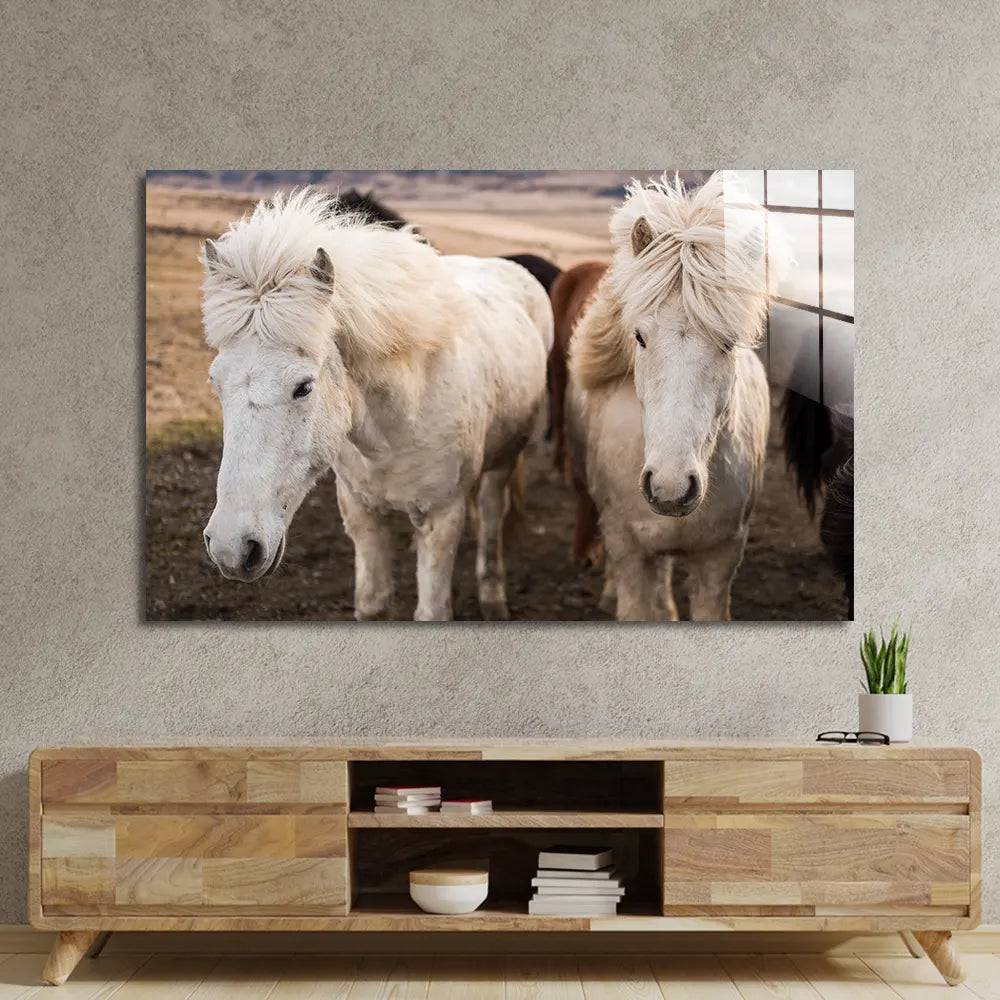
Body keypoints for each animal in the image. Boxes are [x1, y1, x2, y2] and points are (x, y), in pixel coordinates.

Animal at [199, 190, 554, 621]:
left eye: (303, 387)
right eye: (216, 383)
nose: (231, 549)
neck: (397, 423)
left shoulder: (442, 519)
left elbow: (432, 611)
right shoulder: (362, 514)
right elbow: (372, 602)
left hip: (504, 460)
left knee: (490, 516)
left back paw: (493, 598)